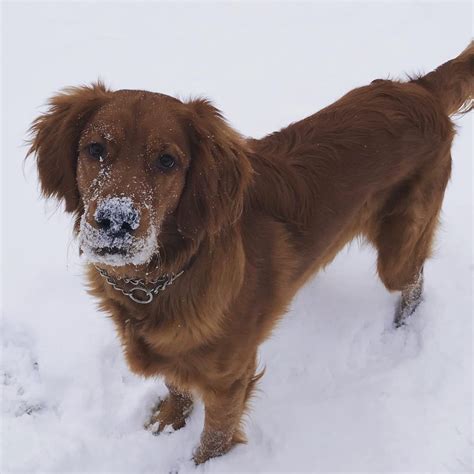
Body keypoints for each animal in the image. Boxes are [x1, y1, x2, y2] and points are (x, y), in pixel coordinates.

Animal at [27, 42, 472, 464]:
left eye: (167, 160)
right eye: (95, 149)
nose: (115, 221)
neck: (165, 277)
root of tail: (420, 90)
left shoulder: (230, 381)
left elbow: (213, 440)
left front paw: (198, 461)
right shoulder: (177, 353)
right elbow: (176, 384)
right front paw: (169, 421)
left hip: (397, 251)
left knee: (414, 279)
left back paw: (404, 322)